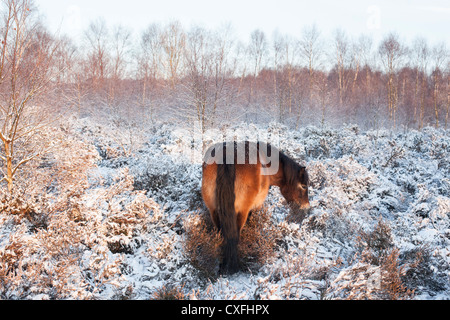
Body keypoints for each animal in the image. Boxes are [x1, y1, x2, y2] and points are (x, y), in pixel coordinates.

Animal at [201, 141, 310, 274]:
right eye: (304, 186)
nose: (306, 207)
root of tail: (227, 154)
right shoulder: (254, 207)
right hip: (241, 212)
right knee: (234, 236)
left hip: (214, 211)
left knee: (221, 235)